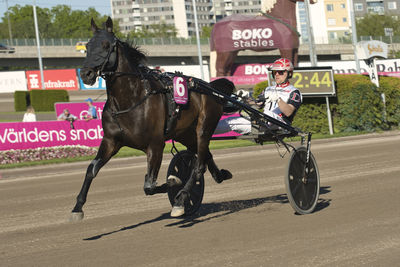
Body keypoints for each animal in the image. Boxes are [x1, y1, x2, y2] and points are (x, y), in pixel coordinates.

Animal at [70, 17, 236, 222]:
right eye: (87, 46)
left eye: (106, 45)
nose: (86, 74)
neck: (131, 100)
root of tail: (211, 87)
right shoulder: (111, 141)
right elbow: (91, 169)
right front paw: (77, 207)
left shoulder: (155, 144)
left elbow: (150, 186)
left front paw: (175, 181)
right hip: (185, 133)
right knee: (205, 157)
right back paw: (220, 175)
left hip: (204, 127)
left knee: (198, 166)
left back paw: (182, 199)